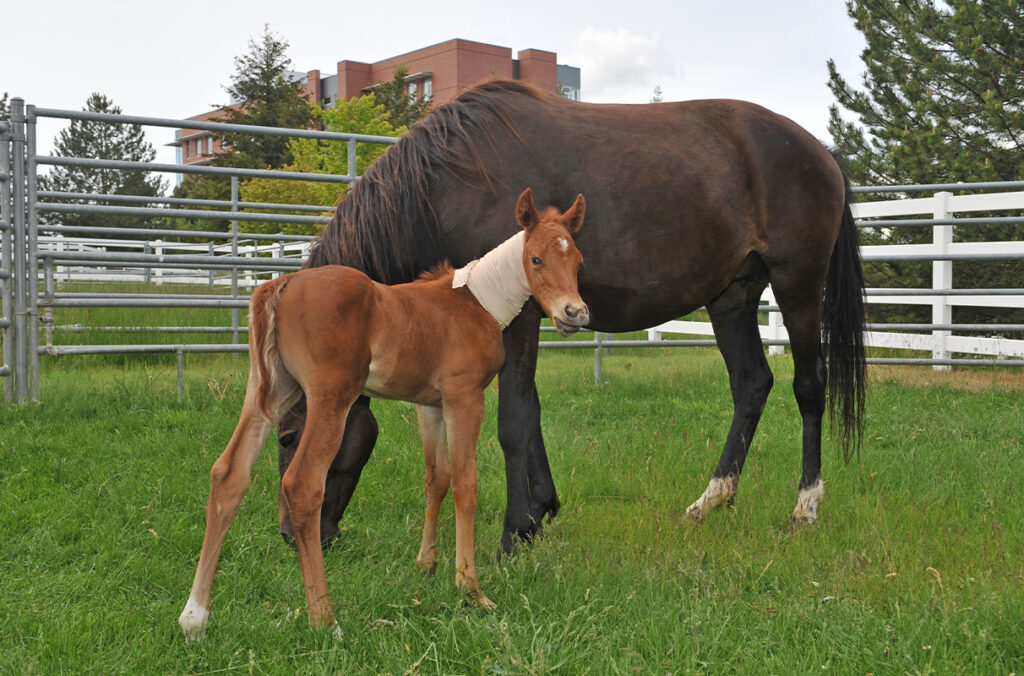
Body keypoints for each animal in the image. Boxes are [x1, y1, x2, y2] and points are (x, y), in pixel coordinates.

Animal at [179, 189, 589, 638]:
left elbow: (436, 480)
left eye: (578, 261)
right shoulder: (464, 397)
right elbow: (466, 484)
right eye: (536, 259)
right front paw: (471, 588)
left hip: (268, 393)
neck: (477, 299)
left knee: (228, 474)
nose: (575, 313)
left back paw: (194, 617)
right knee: (303, 484)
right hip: (331, 397)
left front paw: (426, 565)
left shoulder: (431, 405)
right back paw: (325, 619)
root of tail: (284, 284)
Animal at [277, 79, 866, 554]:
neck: (449, 182)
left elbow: (514, 418)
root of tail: (820, 151)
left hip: (797, 284)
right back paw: (710, 501)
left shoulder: (515, 318)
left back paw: (805, 507)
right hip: (732, 296)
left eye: (287, 437)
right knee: (750, 384)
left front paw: (514, 533)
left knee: (809, 386)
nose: (292, 534)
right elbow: (531, 410)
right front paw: (541, 511)